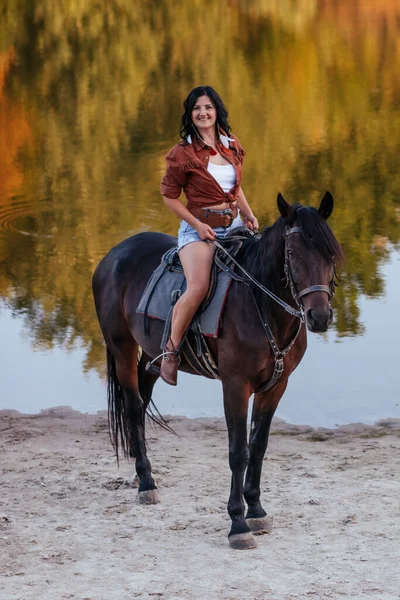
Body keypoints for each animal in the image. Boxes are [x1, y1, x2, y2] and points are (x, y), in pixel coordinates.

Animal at [92, 195, 342, 552]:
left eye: (330, 253)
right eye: (292, 254)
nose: (319, 316)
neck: (260, 303)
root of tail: (113, 254)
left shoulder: (275, 386)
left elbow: (259, 445)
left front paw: (257, 510)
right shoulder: (235, 386)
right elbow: (238, 452)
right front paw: (238, 524)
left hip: (152, 355)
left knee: (141, 401)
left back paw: (144, 475)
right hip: (122, 349)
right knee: (133, 406)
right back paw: (146, 483)